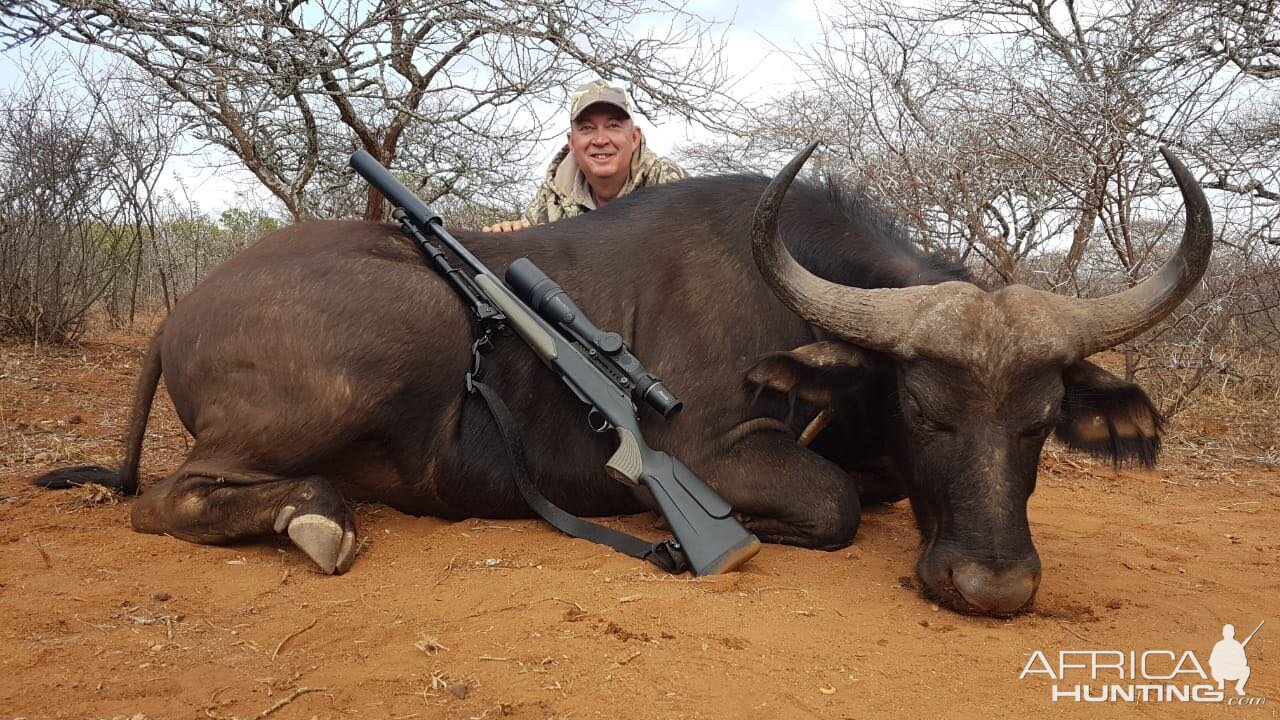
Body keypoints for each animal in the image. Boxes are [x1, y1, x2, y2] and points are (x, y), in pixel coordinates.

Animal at [32, 142, 1208, 614]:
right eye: (923, 408)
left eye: (1041, 423)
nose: (992, 586)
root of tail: (184, 307)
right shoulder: (715, 454)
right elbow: (831, 504)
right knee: (171, 498)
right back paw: (314, 518)